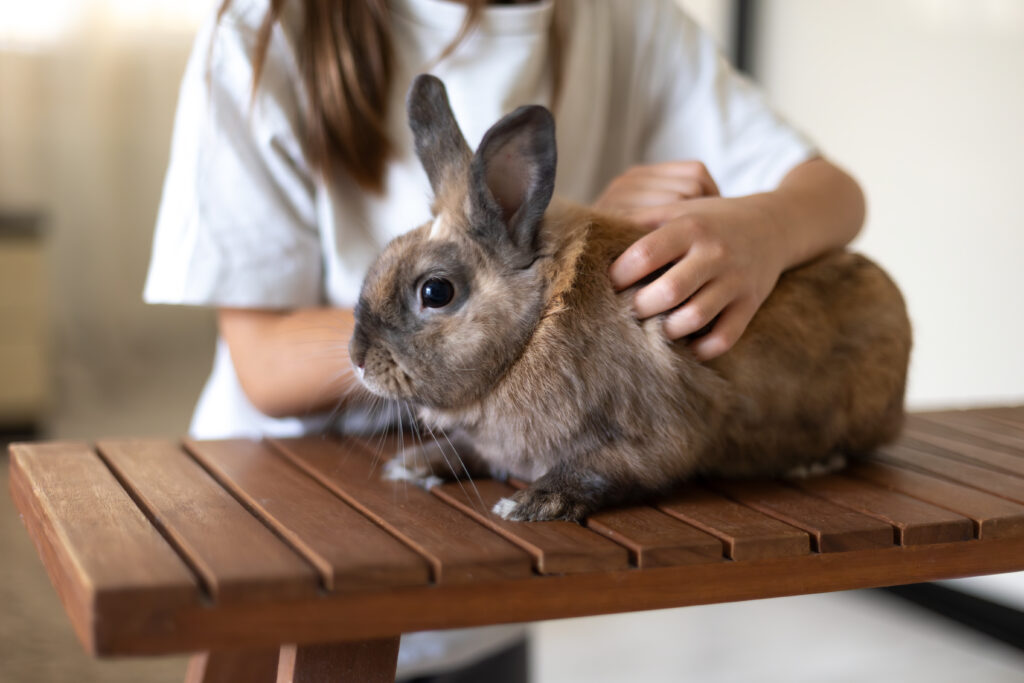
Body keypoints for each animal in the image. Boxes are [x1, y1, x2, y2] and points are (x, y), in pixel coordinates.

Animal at [348, 74, 912, 523]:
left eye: (435, 291)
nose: (357, 358)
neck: (536, 328)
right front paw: (415, 464)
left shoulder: (659, 435)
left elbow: (602, 469)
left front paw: (533, 503)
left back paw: (813, 461)